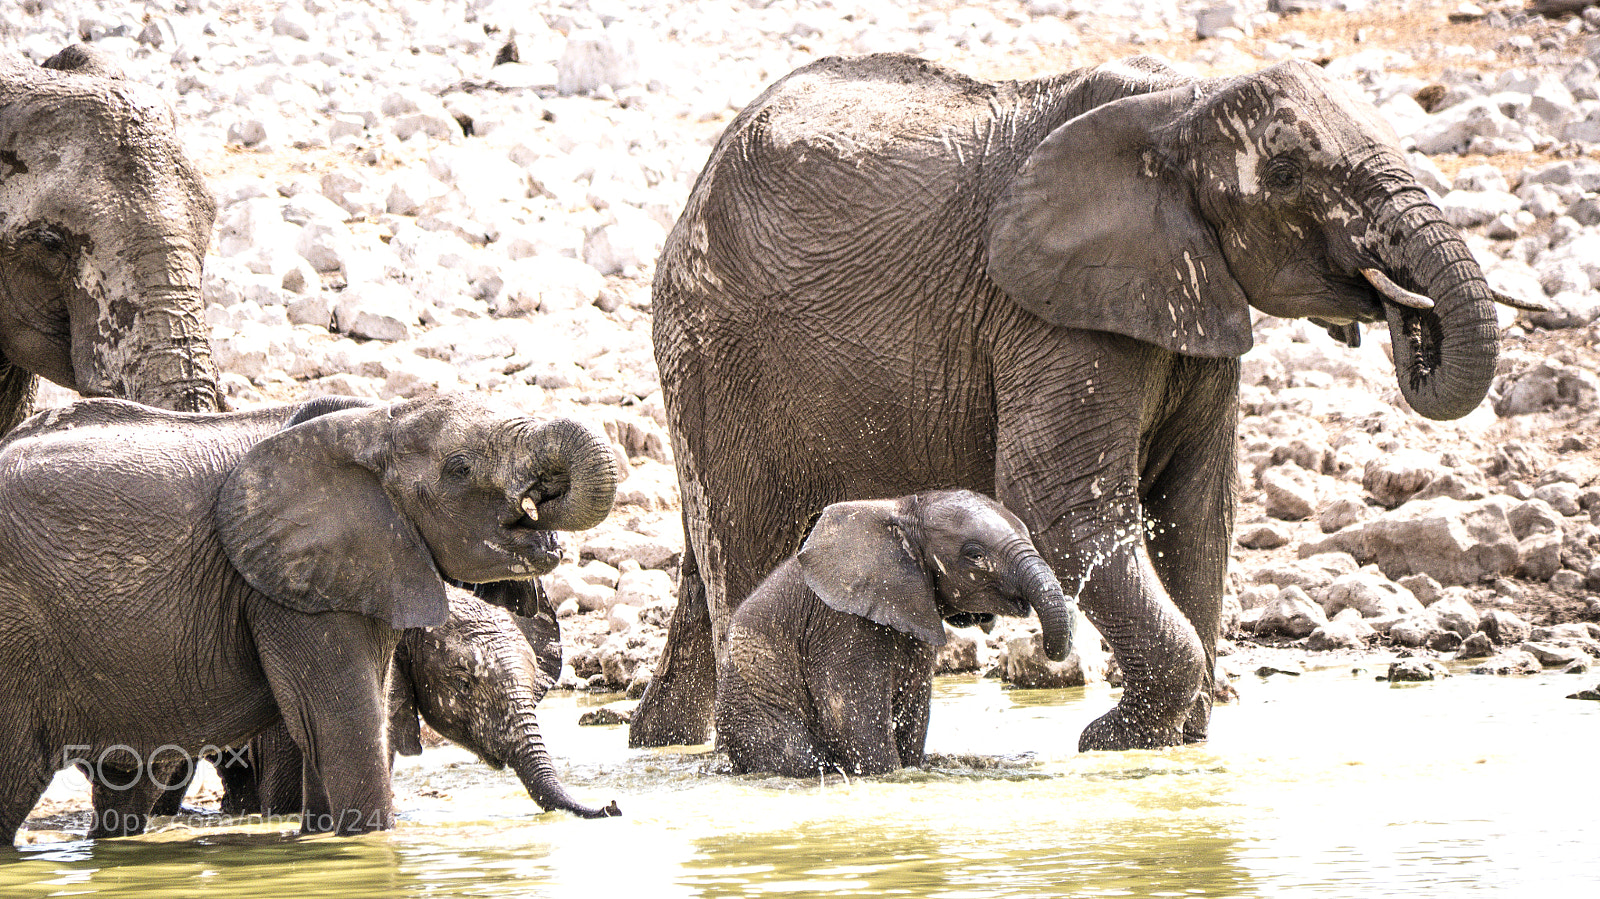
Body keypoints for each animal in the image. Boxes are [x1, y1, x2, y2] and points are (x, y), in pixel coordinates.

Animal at [716, 489, 1073, 777]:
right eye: (975, 555)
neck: (899, 513)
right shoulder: (840, 626)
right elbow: (855, 723)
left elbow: (915, 712)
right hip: (755, 714)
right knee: (796, 756)